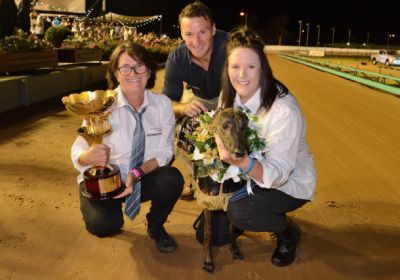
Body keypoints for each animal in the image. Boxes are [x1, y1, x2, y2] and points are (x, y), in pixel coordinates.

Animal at [177, 108, 250, 272]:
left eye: (244, 127)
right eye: (225, 125)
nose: (239, 153)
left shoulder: (230, 197)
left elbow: (231, 229)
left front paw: (234, 249)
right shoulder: (208, 201)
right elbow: (208, 234)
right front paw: (208, 260)